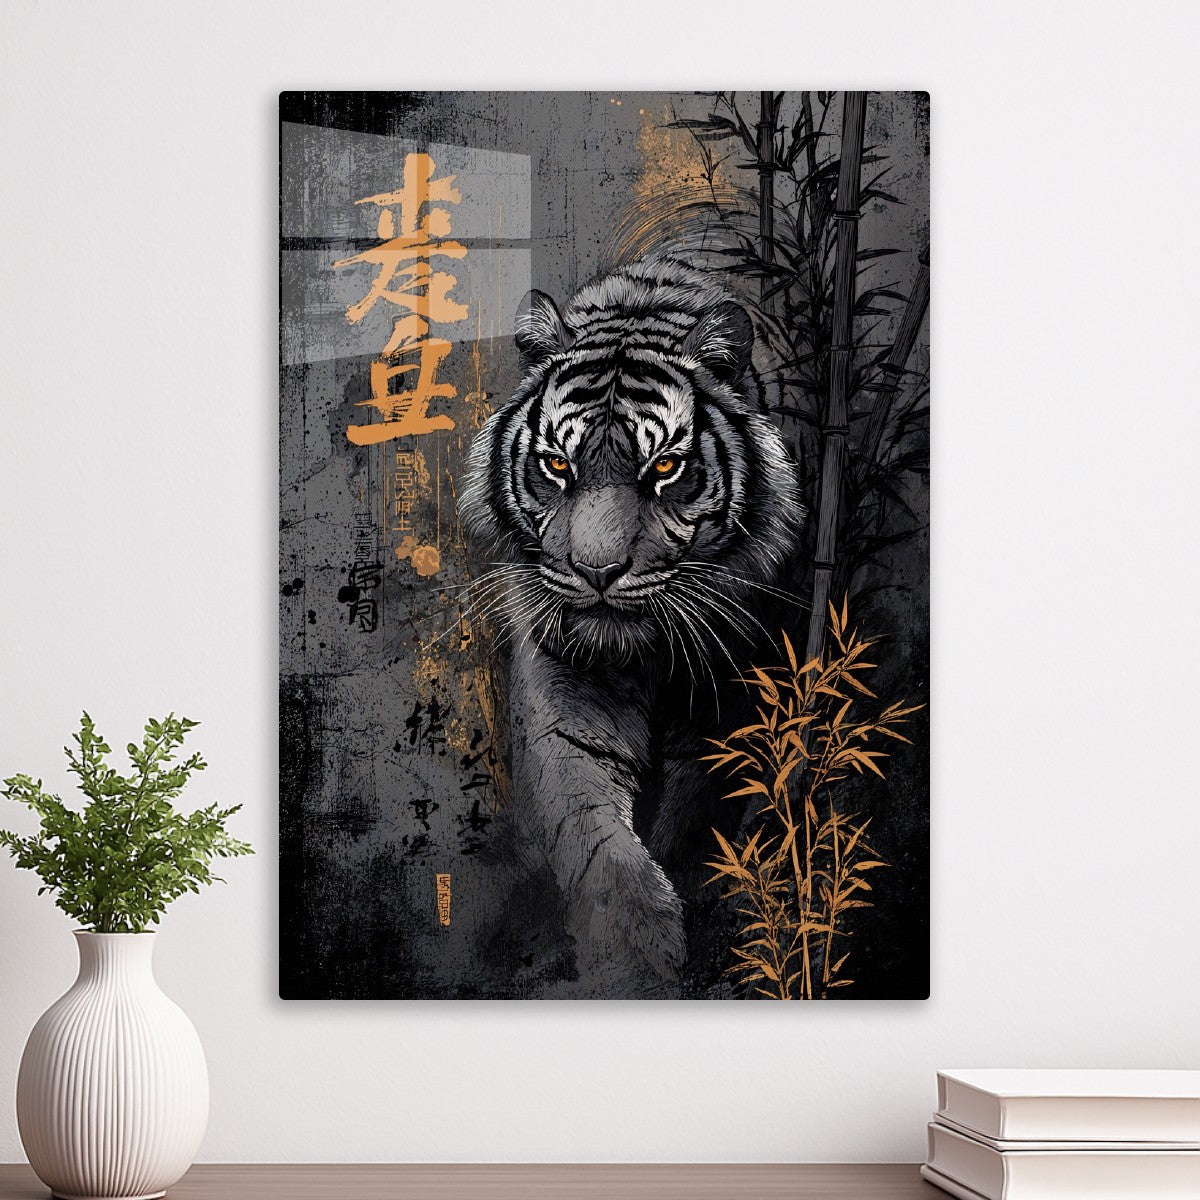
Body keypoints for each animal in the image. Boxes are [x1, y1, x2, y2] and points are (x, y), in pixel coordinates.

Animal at [459, 258, 806, 997]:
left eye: (665, 468)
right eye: (557, 465)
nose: (596, 572)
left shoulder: (730, 696)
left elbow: (698, 819)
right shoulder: (562, 685)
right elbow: (598, 844)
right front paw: (634, 966)